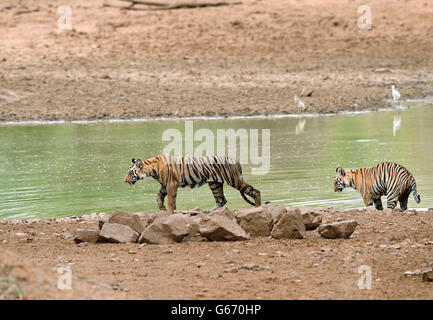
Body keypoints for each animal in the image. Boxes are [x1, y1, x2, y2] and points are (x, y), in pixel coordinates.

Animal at [123, 154, 262, 214]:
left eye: (129, 172)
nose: (124, 180)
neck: (151, 169)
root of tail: (234, 159)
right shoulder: (164, 185)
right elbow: (158, 197)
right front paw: (162, 209)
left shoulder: (171, 185)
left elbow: (171, 201)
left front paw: (169, 212)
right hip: (215, 184)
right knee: (221, 199)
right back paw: (208, 212)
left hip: (234, 180)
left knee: (255, 191)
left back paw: (258, 208)